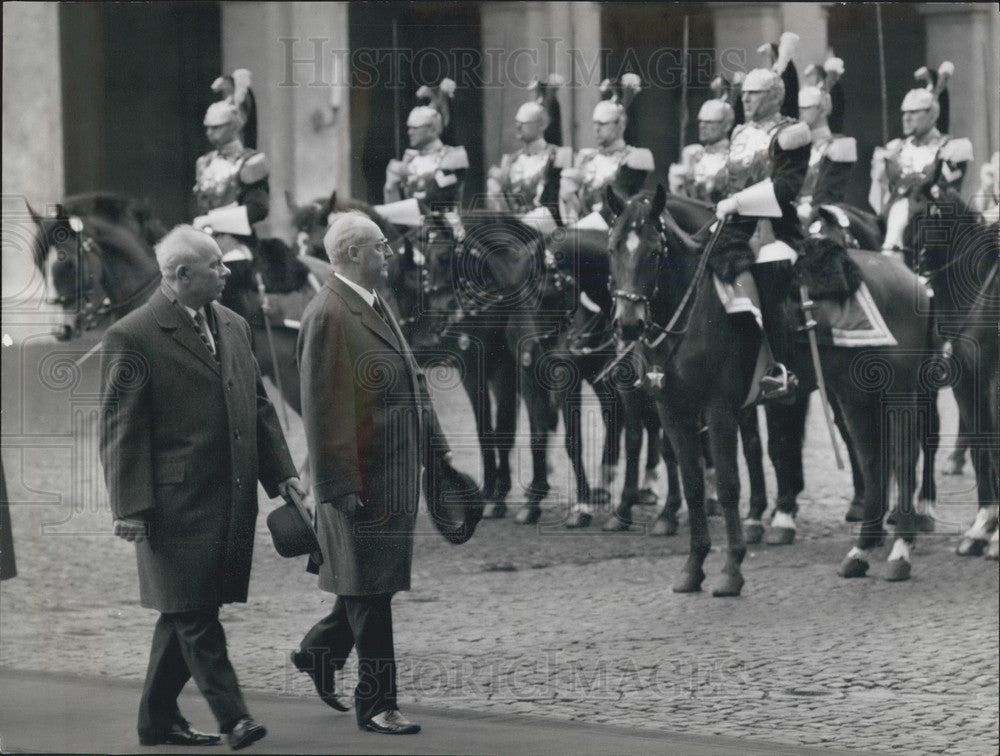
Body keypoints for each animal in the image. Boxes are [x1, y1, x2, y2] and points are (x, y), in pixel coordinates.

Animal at [608, 185, 944, 592]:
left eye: (654, 251)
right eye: (612, 248)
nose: (628, 324)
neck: (694, 309)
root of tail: (913, 279)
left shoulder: (719, 408)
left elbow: (729, 483)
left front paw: (732, 569)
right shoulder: (673, 410)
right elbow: (693, 484)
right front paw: (692, 568)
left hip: (900, 391)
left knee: (904, 456)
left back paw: (900, 552)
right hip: (855, 393)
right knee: (871, 456)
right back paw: (860, 552)